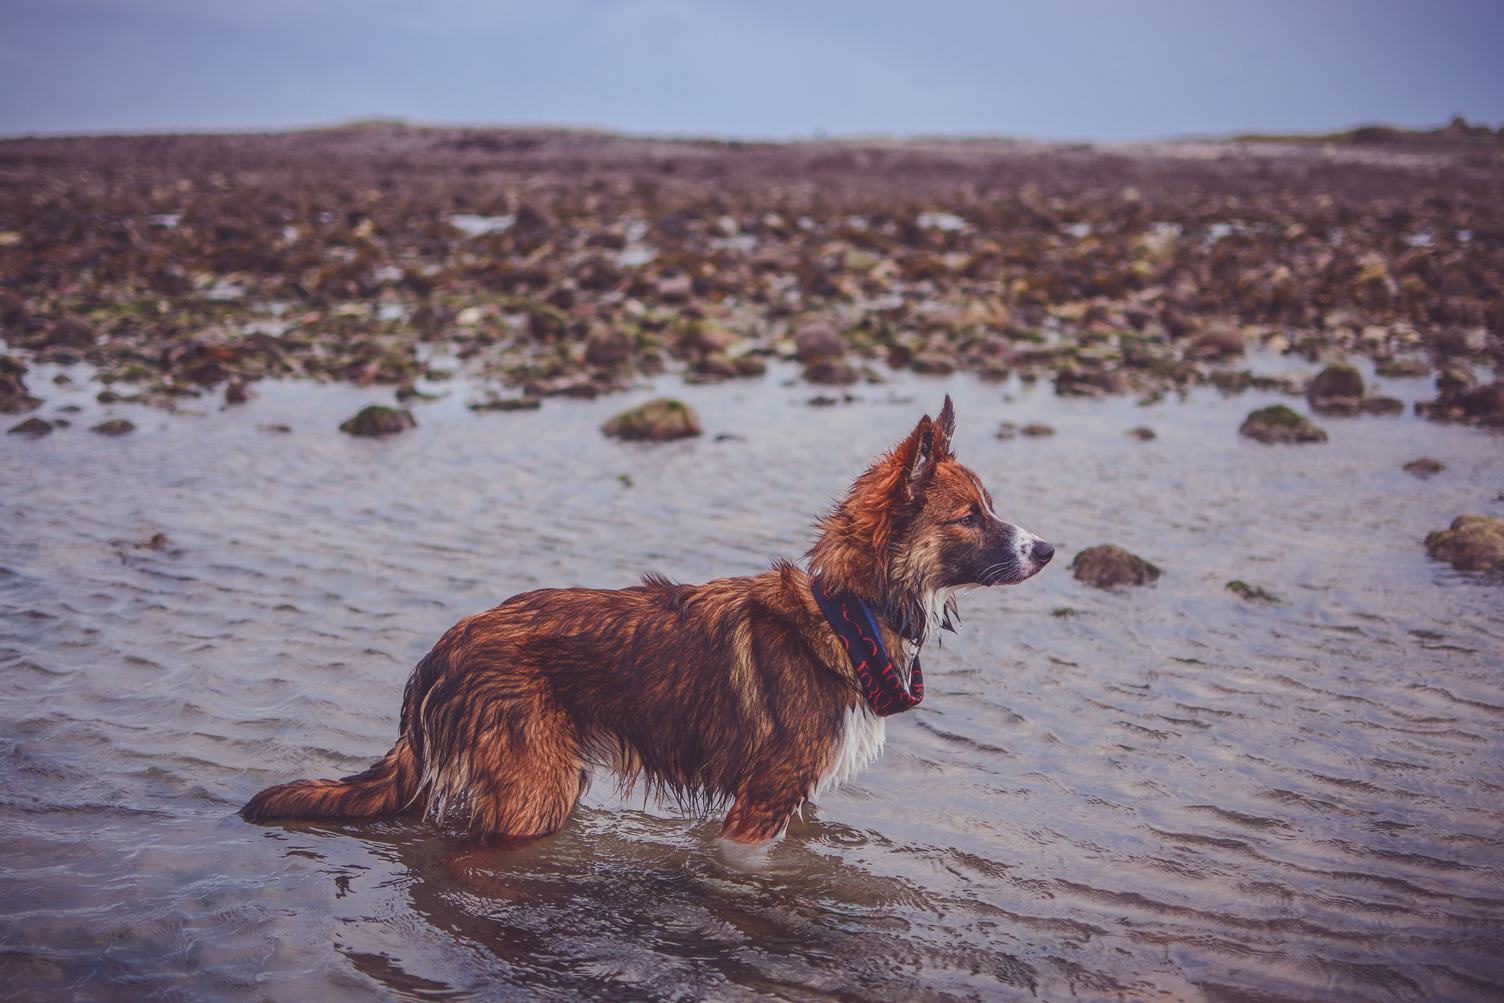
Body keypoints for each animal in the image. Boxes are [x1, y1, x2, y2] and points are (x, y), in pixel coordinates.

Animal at [240, 396, 1052, 842]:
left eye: (990, 508)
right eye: (971, 517)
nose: (1046, 547)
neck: (847, 611)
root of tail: (440, 649)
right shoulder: (760, 800)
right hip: (533, 791)